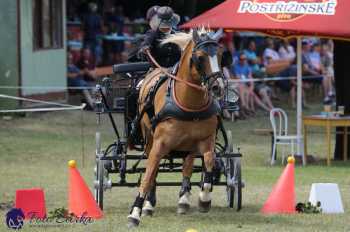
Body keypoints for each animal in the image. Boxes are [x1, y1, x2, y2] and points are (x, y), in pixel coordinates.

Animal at [128, 28, 224, 227]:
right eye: (200, 57)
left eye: (220, 55)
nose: (218, 87)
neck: (190, 105)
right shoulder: (159, 144)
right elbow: (149, 175)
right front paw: (136, 212)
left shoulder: (206, 139)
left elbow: (209, 160)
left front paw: (204, 198)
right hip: (148, 138)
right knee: (154, 170)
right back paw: (149, 204)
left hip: (190, 144)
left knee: (187, 167)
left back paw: (183, 200)